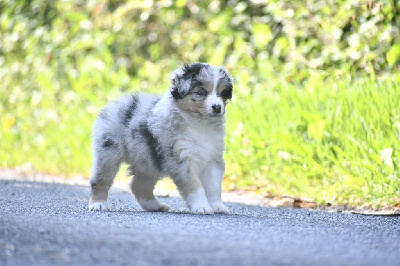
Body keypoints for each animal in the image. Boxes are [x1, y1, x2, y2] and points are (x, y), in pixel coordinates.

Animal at [87, 62, 231, 214]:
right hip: (109, 153)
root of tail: (115, 104)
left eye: (222, 93)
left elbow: (214, 187)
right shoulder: (181, 159)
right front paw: (201, 206)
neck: (199, 124)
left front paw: (217, 206)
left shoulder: (214, 159)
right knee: (101, 180)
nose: (217, 107)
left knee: (138, 185)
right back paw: (98, 204)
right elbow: (194, 186)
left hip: (148, 162)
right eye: (201, 92)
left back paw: (156, 206)